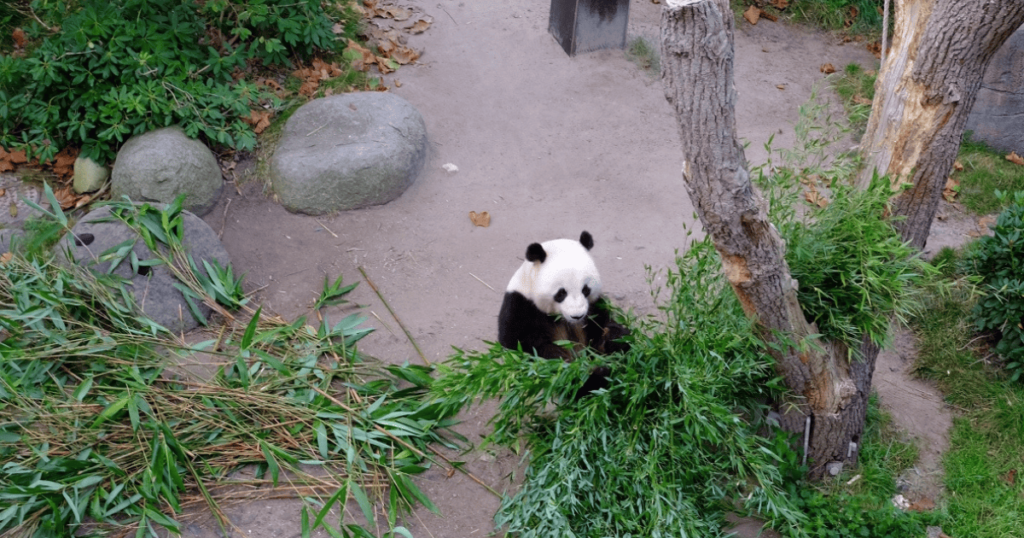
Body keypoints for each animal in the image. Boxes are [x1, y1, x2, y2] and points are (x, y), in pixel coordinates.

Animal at [497, 230, 630, 393]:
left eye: (585, 290)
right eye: (561, 293)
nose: (577, 315)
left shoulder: (594, 307)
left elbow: (602, 333)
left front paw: (614, 337)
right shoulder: (521, 306)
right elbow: (524, 347)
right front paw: (563, 363)